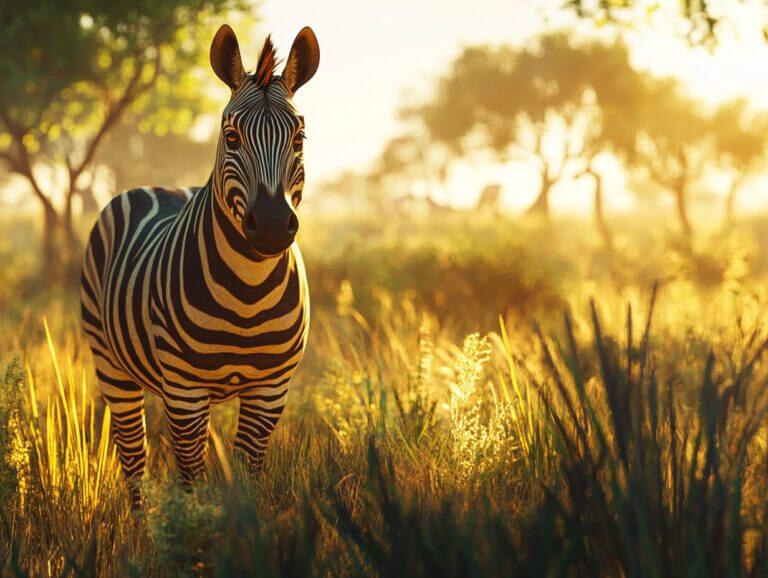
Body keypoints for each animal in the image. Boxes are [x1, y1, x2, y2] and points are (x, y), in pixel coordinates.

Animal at [80, 25, 319, 506]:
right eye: (231, 136)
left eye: (299, 139)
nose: (270, 226)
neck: (248, 291)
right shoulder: (185, 389)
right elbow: (190, 481)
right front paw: (191, 529)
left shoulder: (269, 390)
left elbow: (246, 476)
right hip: (110, 361)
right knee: (134, 455)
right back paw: (139, 524)